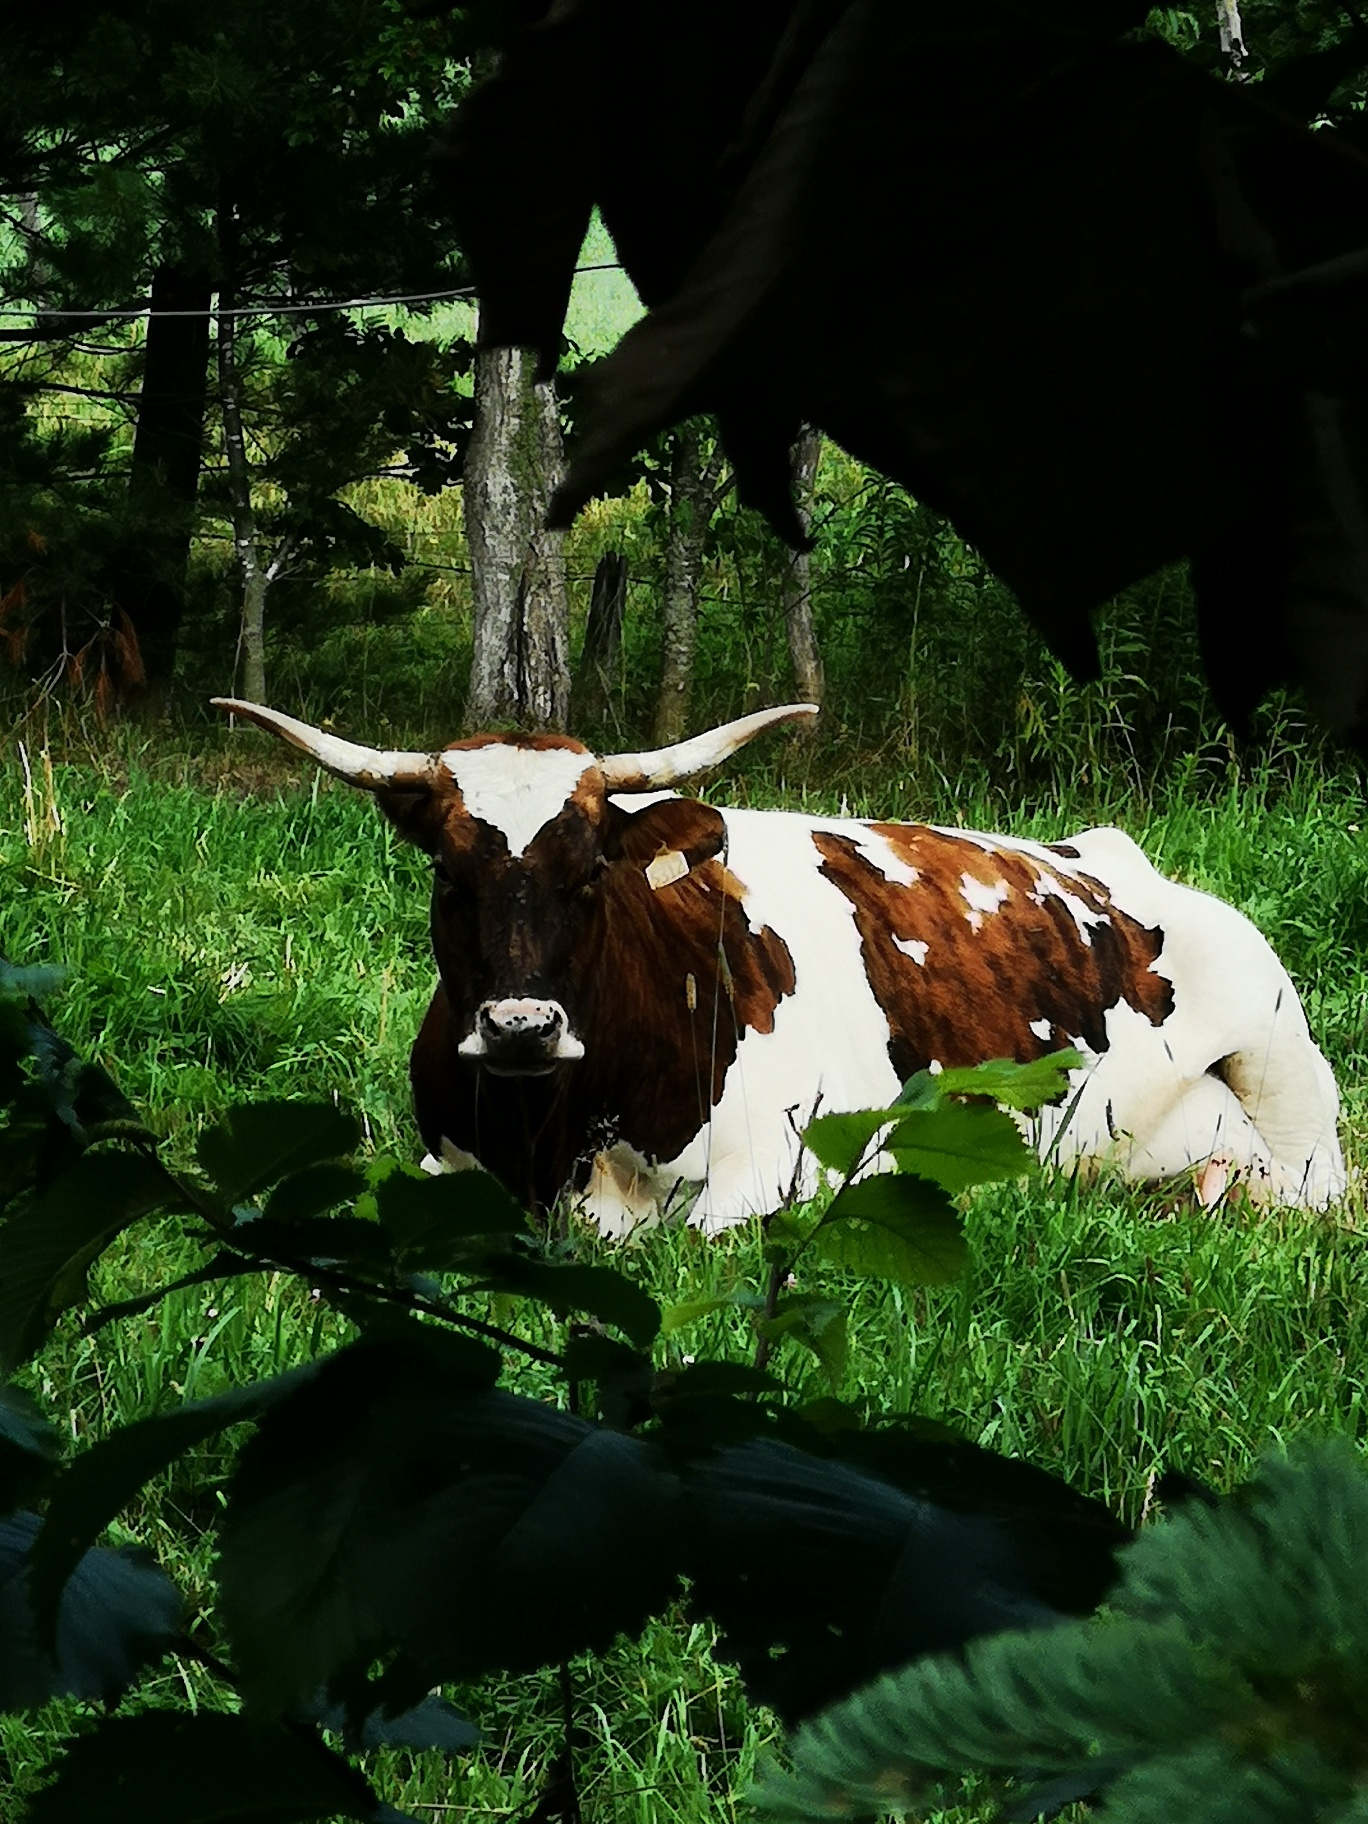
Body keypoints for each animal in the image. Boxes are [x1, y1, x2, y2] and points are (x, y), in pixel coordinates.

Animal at [214, 696, 1349, 1240]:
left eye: (590, 877)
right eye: (452, 875)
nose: (521, 1027)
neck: (561, 1139)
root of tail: (1107, 852)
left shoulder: (796, 1169)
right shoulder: (442, 1167)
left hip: (1287, 1065)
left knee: (1314, 1190)